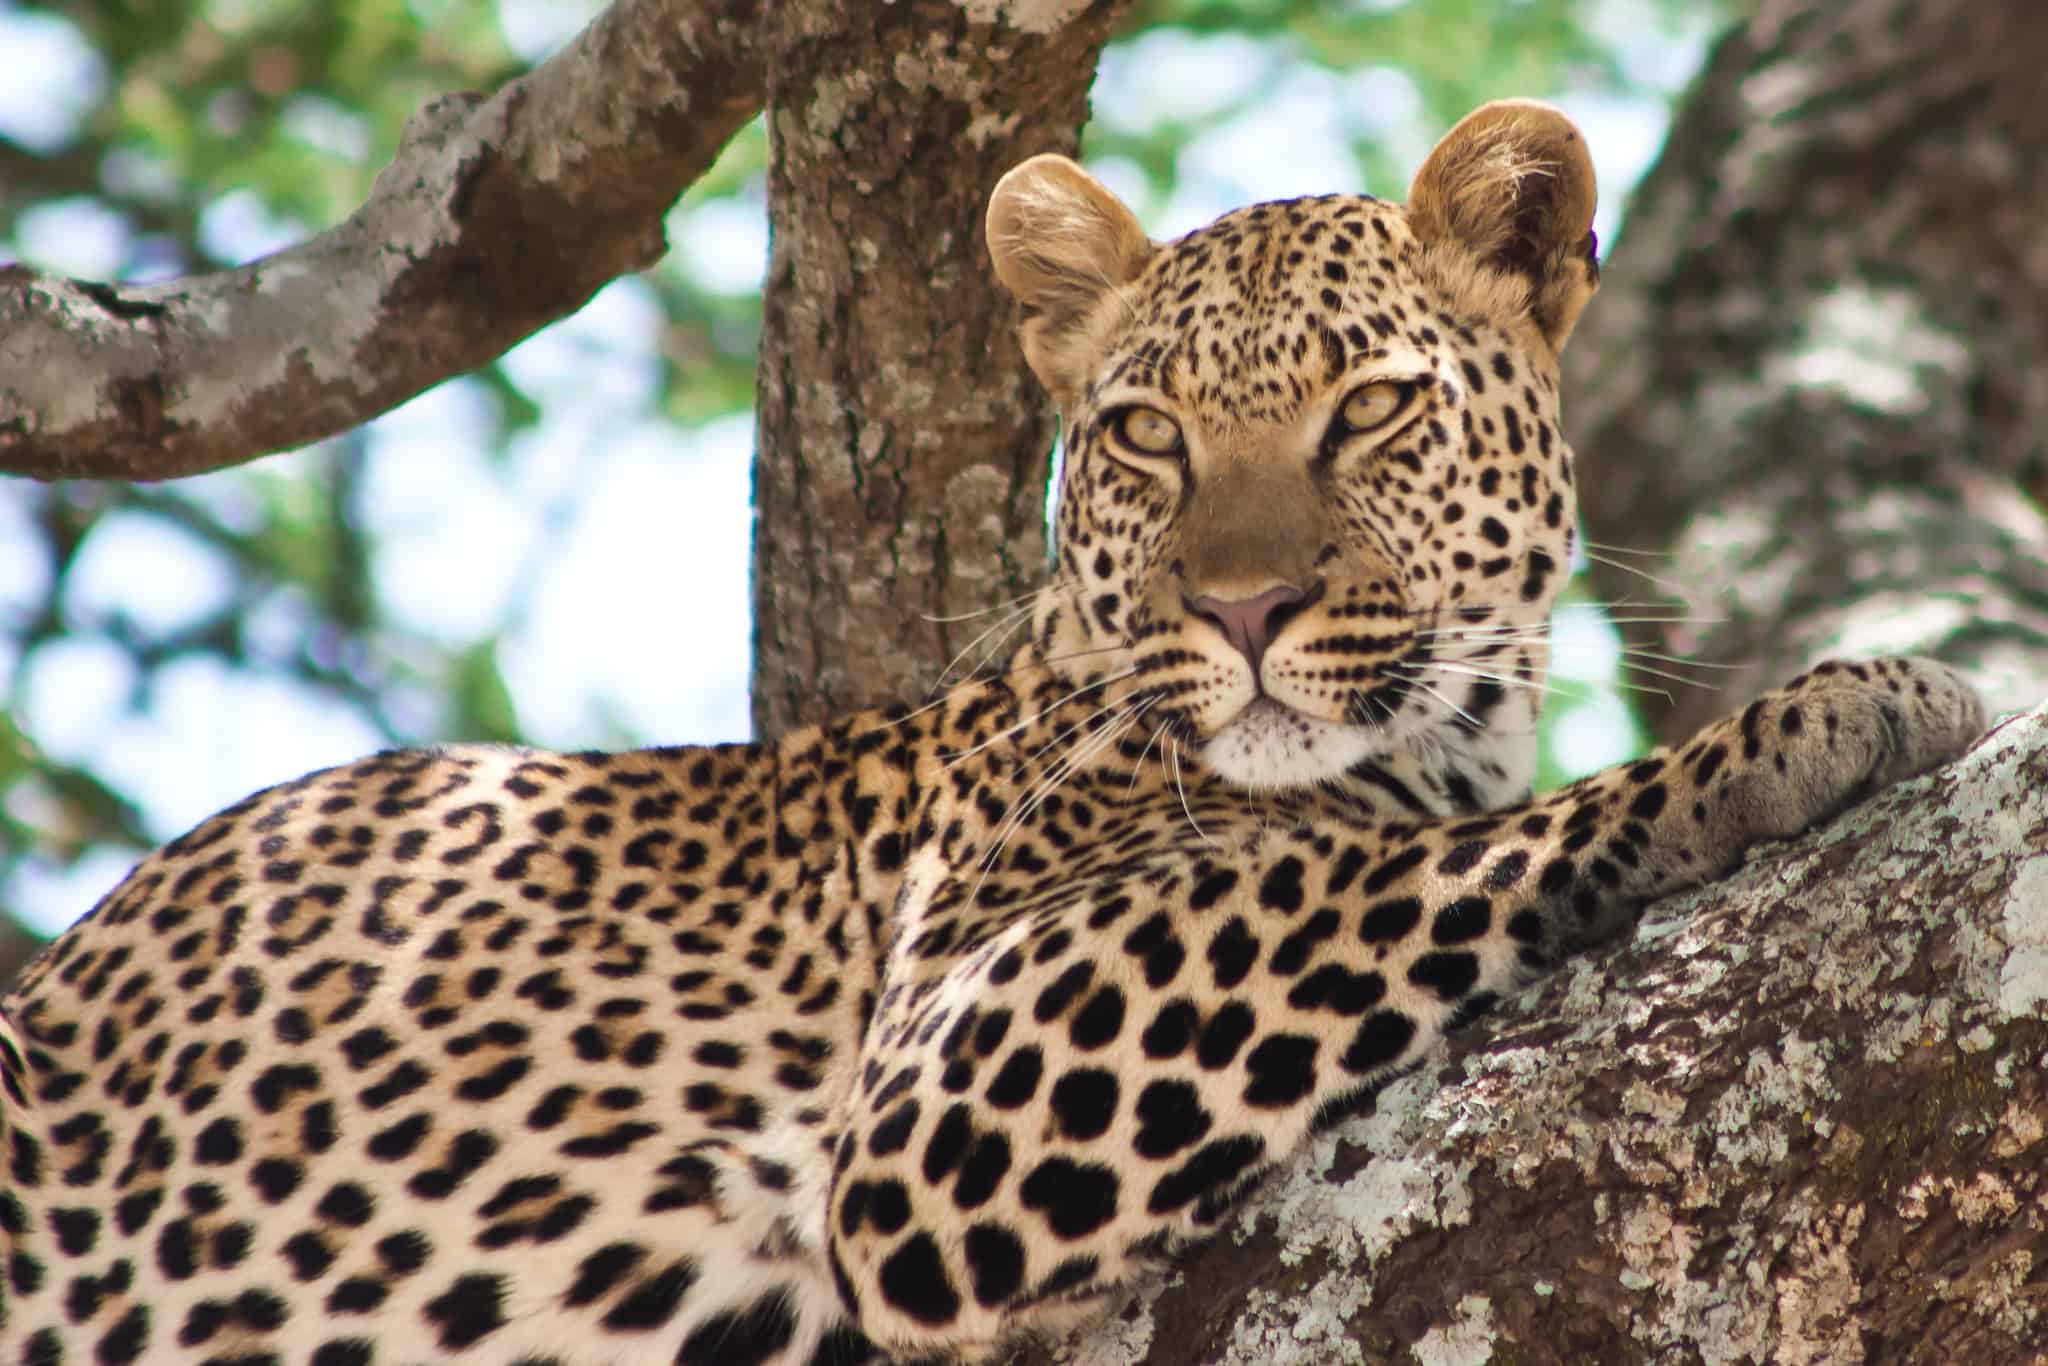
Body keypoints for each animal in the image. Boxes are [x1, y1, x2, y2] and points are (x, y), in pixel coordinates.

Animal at [0, 100, 1985, 1366]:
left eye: (1365, 413)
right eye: (1147, 436)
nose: (1243, 611)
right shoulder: (947, 1055)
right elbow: (1402, 863)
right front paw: (1828, 711)